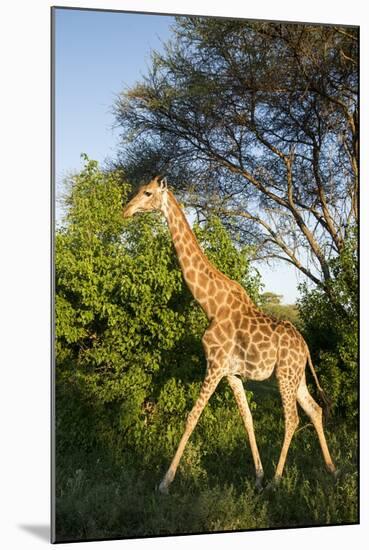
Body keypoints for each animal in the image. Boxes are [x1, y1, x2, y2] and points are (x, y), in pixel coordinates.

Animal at [122, 175, 334, 494]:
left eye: (147, 193)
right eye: (137, 190)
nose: (126, 210)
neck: (210, 304)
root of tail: (306, 347)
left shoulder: (215, 364)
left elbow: (192, 417)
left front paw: (164, 482)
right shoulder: (232, 373)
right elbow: (247, 419)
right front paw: (257, 476)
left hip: (284, 375)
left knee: (293, 419)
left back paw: (277, 481)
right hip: (296, 377)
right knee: (315, 410)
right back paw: (331, 469)